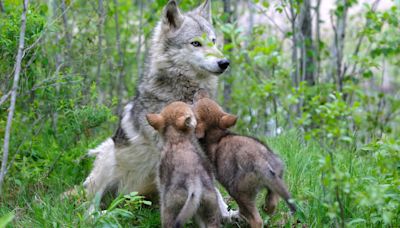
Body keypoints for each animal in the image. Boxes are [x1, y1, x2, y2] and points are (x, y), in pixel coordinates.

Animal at [82, 0, 231, 216]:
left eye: (213, 41)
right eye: (196, 43)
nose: (225, 62)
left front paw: (227, 214)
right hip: (107, 155)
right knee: (89, 208)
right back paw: (100, 215)